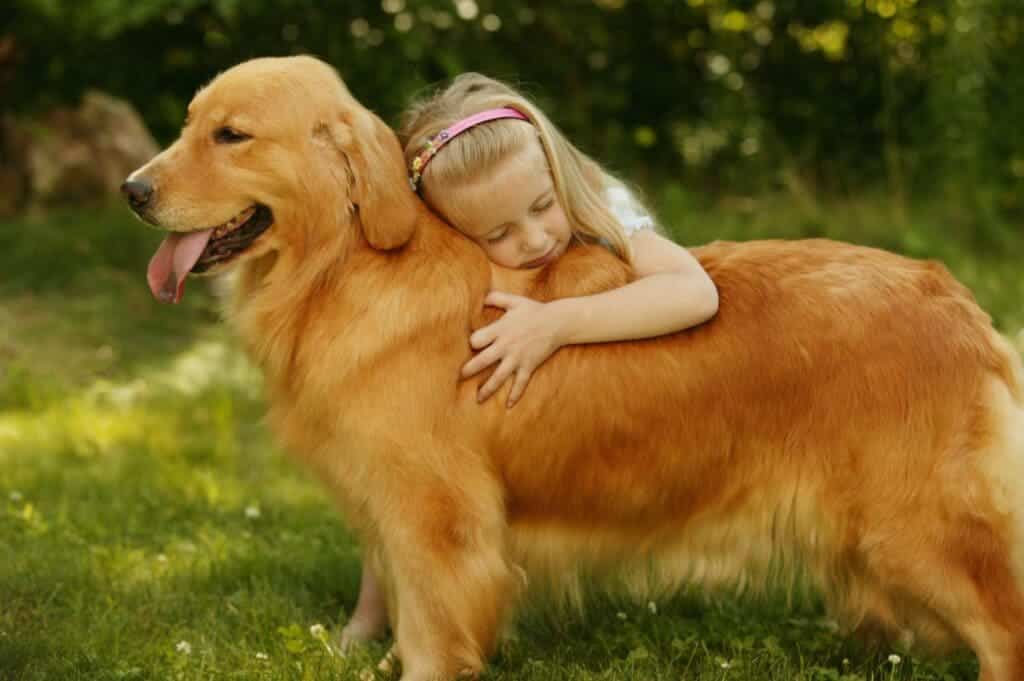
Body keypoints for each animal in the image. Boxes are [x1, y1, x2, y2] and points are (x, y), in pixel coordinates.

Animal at [123, 54, 1024, 679]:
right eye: (190, 123)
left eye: (232, 135)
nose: (131, 189)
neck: (347, 265)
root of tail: (958, 301)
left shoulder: (437, 518)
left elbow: (432, 629)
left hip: (919, 528)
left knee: (1006, 627)